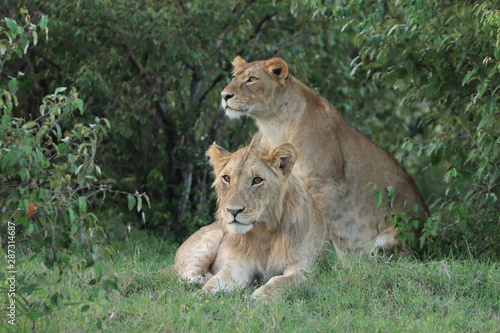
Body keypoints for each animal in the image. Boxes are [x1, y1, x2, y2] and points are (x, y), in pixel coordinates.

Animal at [174, 139, 326, 300]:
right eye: (227, 178)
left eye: (257, 180)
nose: (233, 211)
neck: (264, 232)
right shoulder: (237, 266)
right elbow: (214, 282)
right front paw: (200, 295)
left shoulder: (302, 268)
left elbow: (282, 281)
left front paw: (260, 296)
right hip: (211, 236)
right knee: (185, 272)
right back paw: (199, 279)